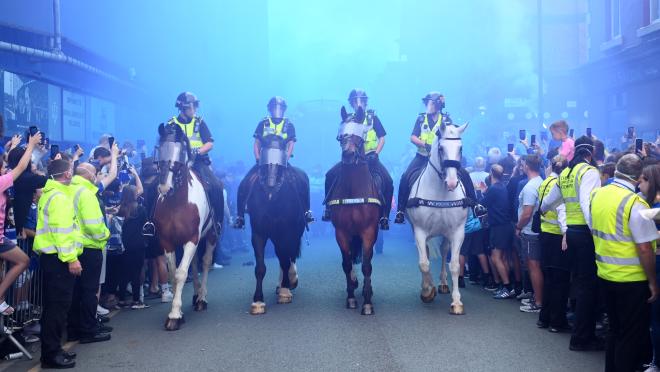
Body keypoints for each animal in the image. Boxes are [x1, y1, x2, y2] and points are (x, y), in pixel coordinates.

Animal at [153, 123, 218, 330]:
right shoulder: (167, 242)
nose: (165, 188)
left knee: (205, 262)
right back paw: (196, 295)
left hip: (211, 235)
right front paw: (178, 312)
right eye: (160, 149)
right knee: (195, 264)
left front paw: (174, 315)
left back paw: (202, 298)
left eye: (181, 152)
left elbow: (181, 273)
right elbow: (173, 273)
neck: (177, 204)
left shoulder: (192, 238)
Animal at [241, 135, 308, 316]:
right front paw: (258, 301)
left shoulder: (286, 231)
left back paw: (289, 282)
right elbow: (260, 267)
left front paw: (285, 291)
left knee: (288, 255)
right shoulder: (259, 232)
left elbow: (286, 259)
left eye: (283, 150)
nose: (271, 186)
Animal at [404, 122, 466, 314]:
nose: (452, 183)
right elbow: (424, 263)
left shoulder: (458, 232)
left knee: (445, 251)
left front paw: (456, 302)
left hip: (446, 234)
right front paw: (427, 291)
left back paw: (443, 284)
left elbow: (455, 265)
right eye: (441, 148)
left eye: (460, 148)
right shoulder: (419, 231)